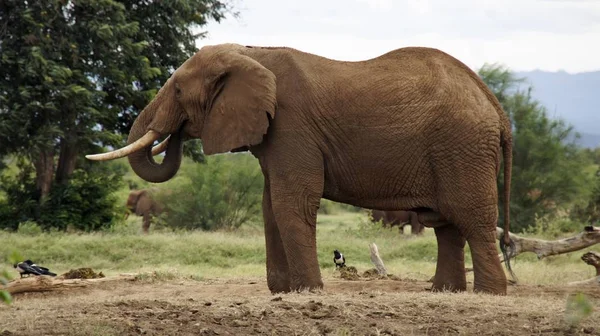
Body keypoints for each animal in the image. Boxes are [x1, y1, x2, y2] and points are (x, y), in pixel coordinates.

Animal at [86, 43, 512, 296]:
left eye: (176, 91)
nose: (170, 136)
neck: (251, 53)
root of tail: (493, 102)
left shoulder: (292, 126)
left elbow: (292, 202)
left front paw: (308, 292)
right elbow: (270, 205)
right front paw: (282, 292)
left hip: (462, 146)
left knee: (470, 216)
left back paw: (488, 294)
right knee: (446, 223)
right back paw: (446, 293)